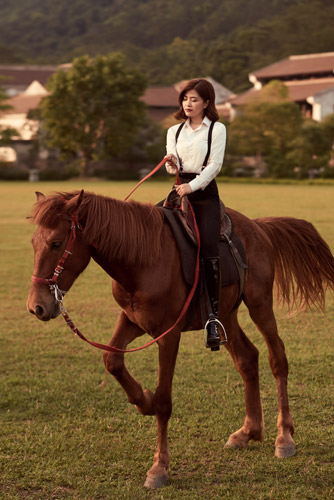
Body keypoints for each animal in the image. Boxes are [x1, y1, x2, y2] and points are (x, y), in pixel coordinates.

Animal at [26, 188, 334, 488]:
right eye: (33, 243)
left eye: (56, 243)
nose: (36, 307)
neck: (142, 259)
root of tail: (258, 227)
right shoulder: (131, 320)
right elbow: (112, 360)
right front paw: (143, 400)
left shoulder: (168, 334)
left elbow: (164, 401)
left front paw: (159, 467)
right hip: (225, 314)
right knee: (247, 359)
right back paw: (248, 431)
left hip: (260, 304)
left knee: (277, 358)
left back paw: (284, 437)